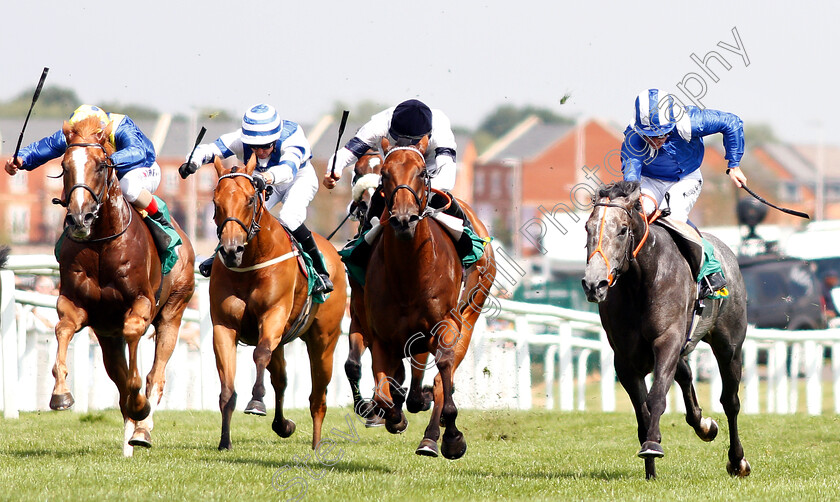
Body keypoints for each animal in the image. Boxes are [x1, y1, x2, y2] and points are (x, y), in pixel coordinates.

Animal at [51, 115, 196, 456]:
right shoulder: (77, 306)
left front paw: (140, 406)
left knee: (156, 375)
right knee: (118, 379)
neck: (103, 244)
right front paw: (61, 393)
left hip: (173, 311)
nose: (79, 218)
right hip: (107, 336)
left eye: (101, 166)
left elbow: (136, 364)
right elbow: (63, 329)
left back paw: (141, 429)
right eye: (64, 164)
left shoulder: (141, 303)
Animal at [208, 155, 346, 450]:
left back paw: (316, 445)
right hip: (283, 340)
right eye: (215, 201)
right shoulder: (223, 326)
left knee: (318, 396)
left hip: (324, 342)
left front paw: (257, 401)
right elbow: (227, 390)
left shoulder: (273, 315)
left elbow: (260, 354)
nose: (231, 249)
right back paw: (283, 425)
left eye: (250, 199)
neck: (250, 263)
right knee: (281, 380)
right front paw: (225, 441)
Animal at [362, 137, 496, 458]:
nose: (404, 219)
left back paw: (432, 437)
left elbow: (443, 375)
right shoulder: (381, 336)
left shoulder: (445, 325)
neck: (409, 274)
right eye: (384, 173)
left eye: (422, 172)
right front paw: (394, 416)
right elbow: (384, 394)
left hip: (470, 314)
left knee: (439, 379)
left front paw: (452, 436)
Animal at [580, 180, 752, 478]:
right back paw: (704, 425)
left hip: (729, 346)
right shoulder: (625, 359)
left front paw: (652, 446)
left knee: (730, 401)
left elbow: (657, 396)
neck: (640, 281)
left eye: (622, 229)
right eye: (588, 228)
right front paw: (650, 469)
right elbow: (642, 410)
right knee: (686, 374)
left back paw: (737, 460)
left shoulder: (667, 340)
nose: (594, 284)